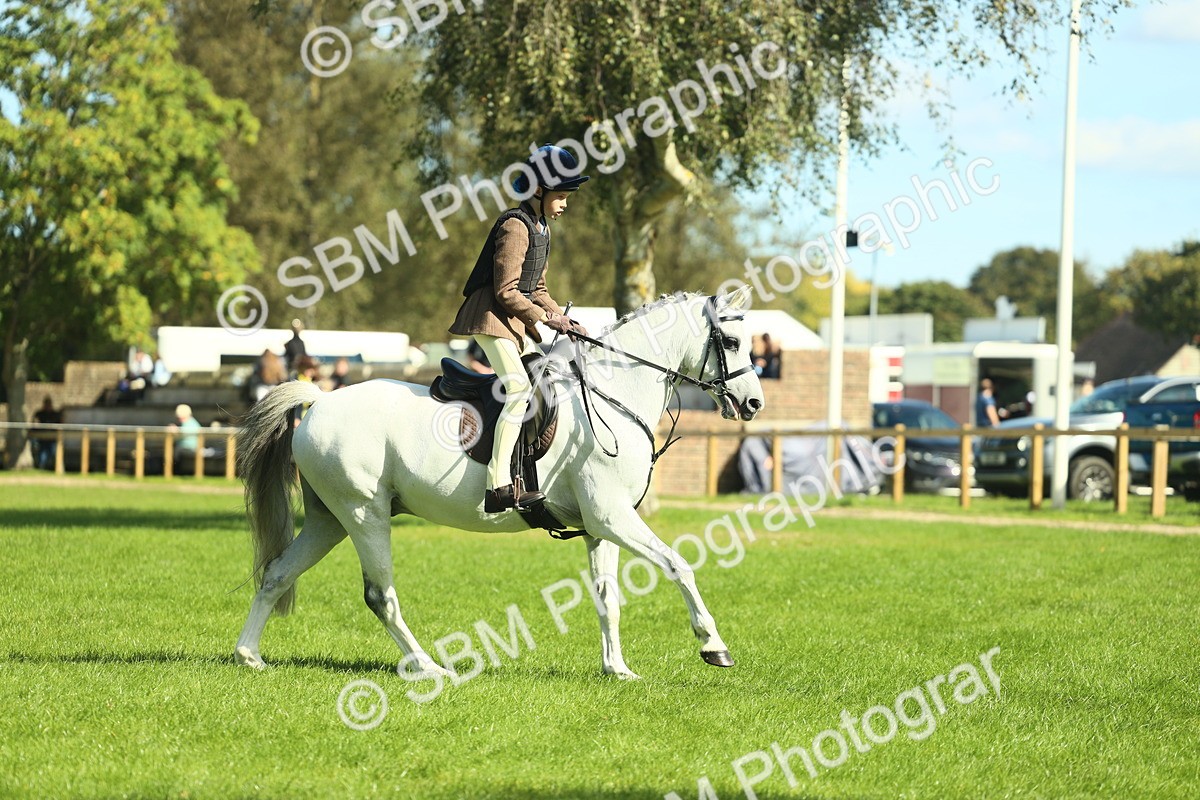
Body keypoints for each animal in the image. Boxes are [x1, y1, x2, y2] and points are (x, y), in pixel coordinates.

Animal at [233, 286, 765, 680]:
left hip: (330, 519)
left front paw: (617, 669)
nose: (754, 404)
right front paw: (713, 646)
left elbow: (607, 596)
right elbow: (679, 566)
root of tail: (321, 400)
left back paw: (248, 655)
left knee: (277, 574)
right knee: (379, 595)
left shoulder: (602, 527)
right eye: (732, 343)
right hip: (365, 514)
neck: (613, 396)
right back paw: (428, 667)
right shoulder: (612, 517)